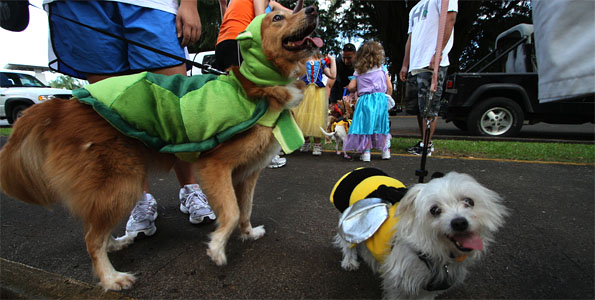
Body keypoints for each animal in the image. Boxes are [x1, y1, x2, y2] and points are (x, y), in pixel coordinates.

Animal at [1, 7, 322, 290]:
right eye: (277, 17)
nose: (313, 9)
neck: (257, 87)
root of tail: (62, 105)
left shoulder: (248, 172)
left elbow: (245, 208)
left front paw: (249, 233)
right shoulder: (215, 166)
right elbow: (230, 211)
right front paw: (217, 247)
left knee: (94, 229)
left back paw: (116, 243)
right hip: (122, 182)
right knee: (91, 238)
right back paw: (111, 278)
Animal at [332, 170, 510, 298]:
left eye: (469, 201)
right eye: (434, 210)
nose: (459, 222)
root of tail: (359, 170)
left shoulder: (430, 286)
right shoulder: (400, 282)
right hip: (350, 221)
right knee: (347, 244)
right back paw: (349, 261)